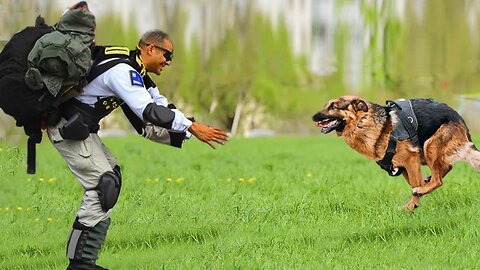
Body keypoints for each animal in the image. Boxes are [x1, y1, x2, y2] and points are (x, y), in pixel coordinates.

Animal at [312, 96, 480, 210]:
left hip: (429, 146)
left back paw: (424, 188)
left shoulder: (410, 160)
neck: (364, 122)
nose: (313, 117)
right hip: (425, 153)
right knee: (445, 168)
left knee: (439, 179)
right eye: (326, 105)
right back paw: (427, 182)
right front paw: (417, 197)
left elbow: (414, 185)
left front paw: (411, 207)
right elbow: (413, 182)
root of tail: (459, 117)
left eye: (334, 106)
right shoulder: (401, 166)